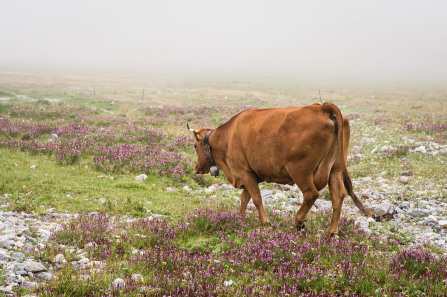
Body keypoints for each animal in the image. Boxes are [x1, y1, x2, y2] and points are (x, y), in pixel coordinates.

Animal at [189, 102, 374, 236]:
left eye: (194, 146)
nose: (196, 168)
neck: (227, 137)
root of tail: (321, 107)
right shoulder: (250, 174)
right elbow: (245, 198)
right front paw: (240, 218)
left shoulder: (245, 171)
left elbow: (256, 198)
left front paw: (265, 222)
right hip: (335, 169)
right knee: (338, 197)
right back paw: (331, 232)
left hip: (300, 171)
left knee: (311, 194)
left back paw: (298, 222)